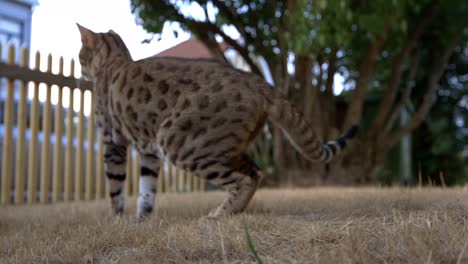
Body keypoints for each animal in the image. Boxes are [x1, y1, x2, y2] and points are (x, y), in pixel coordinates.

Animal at [77, 24, 356, 219]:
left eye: (80, 55)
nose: (80, 67)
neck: (114, 60)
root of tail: (255, 79)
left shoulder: (112, 142)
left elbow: (116, 187)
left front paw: (118, 219)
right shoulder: (149, 151)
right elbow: (147, 189)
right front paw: (142, 219)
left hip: (181, 143)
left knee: (244, 179)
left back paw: (220, 214)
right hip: (224, 146)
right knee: (256, 172)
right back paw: (232, 211)